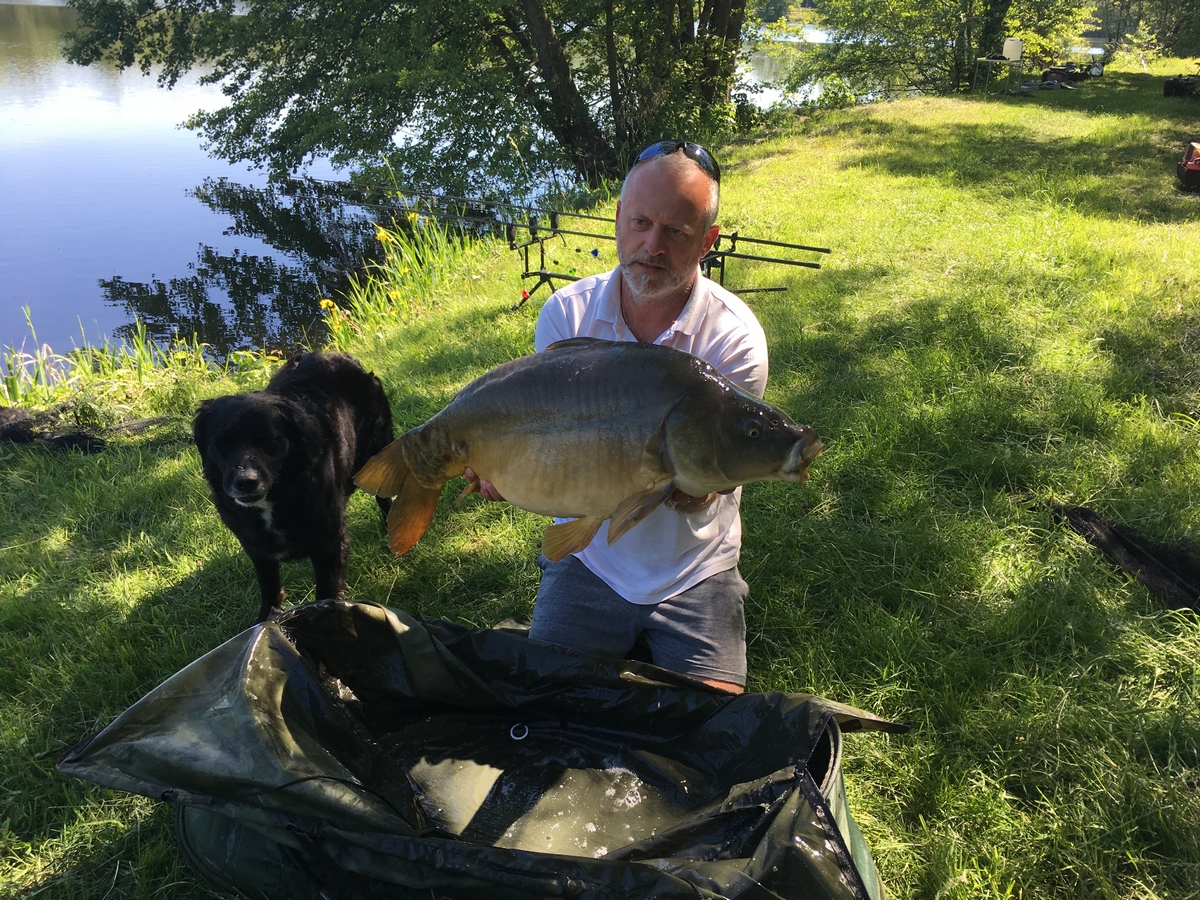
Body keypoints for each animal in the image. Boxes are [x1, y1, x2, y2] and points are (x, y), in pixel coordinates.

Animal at [193, 355, 393, 628]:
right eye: (223, 444)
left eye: (270, 441)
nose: (245, 481)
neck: (277, 497)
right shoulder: (258, 549)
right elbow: (269, 589)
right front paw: (263, 623)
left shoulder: (330, 543)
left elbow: (326, 594)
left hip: (376, 456)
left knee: (385, 498)